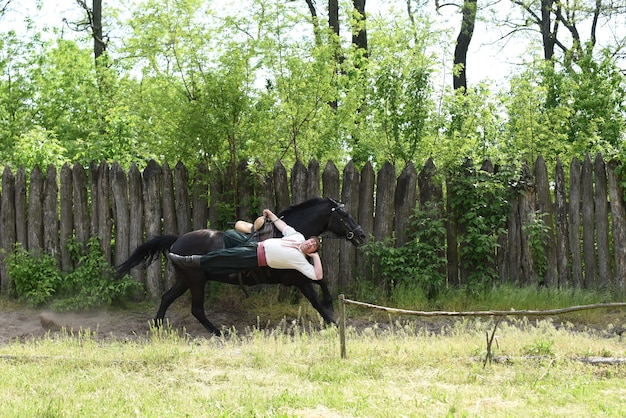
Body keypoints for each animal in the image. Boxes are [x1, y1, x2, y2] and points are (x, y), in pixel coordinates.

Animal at [116, 197, 366, 336]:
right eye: (344, 214)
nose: (362, 235)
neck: (285, 235)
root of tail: (177, 241)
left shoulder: (299, 275)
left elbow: (322, 281)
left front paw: (331, 310)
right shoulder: (296, 278)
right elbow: (316, 296)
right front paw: (333, 321)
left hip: (185, 281)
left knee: (167, 297)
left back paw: (158, 325)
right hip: (195, 282)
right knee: (196, 309)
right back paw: (218, 331)